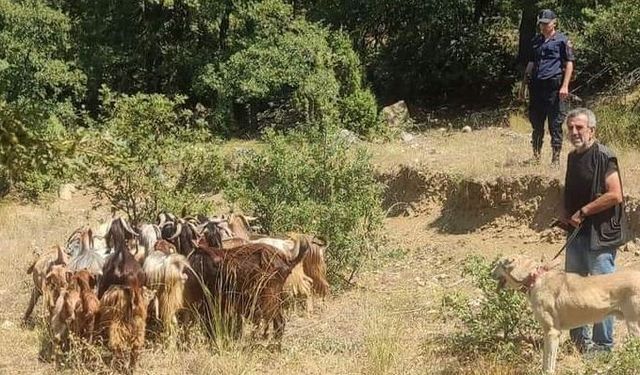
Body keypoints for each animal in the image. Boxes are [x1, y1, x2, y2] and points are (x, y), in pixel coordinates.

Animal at [492, 258, 640, 374]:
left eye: (499, 264)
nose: (489, 273)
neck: (536, 279)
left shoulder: (553, 332)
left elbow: (549, 362)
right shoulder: (547, 332)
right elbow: (545, 359)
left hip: (634, 325)